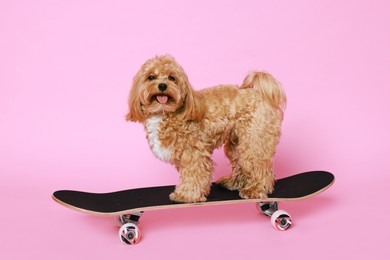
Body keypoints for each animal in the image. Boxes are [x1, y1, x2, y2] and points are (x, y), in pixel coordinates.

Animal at [126, 54, 284, 203]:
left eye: (172, 78)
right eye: (151, 77)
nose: (163, 86)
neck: (166, 113)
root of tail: (260, 94)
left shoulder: (193, 152)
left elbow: (194, 174)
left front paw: (185, 195)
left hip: (254, 140)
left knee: (259, 166)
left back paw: (255, 189)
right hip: (236, 143)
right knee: (240, 163)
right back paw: (233, 182)